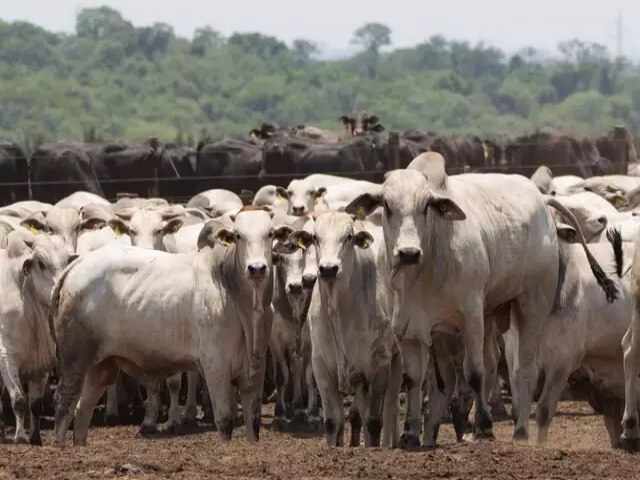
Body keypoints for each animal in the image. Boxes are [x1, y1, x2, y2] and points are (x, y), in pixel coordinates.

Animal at [0, 231, 74, 444]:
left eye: (66, 260)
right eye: (41, 263)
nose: (62, 290)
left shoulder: (41, 368)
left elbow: (35, 404)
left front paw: (35, 438)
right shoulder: (6, 357)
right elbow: (19, 400)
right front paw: (19, 437)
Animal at [51, 210, 294, 446]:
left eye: (270, 234)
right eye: (238, 235)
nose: (256, 268)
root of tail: (78, 263)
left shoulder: (255, 373)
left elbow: (254, 423)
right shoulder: (216, 368)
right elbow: (224, 421)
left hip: (101, 365)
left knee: (83, 409)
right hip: (75, 359)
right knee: (64, 404)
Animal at [286, 212, 396, 448]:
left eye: (348, 237)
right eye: (315, 237)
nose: (328, 268)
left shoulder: (380, 365)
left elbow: (374, 421)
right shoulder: (321, 366)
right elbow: (333, 421)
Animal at [348, 153, 616, 446]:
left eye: (426, 206)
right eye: (386, 206)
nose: (408, 252)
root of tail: (542, 198)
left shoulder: (471, 318)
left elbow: (475, 374)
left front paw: (486, 426)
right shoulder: (406, 328)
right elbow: (414, 380)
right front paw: (409, 435)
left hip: (531, 305)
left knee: (524, 369)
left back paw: (520, 431)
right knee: (475, 371)